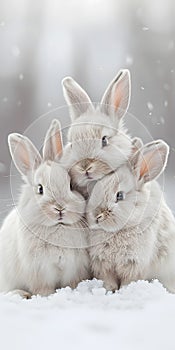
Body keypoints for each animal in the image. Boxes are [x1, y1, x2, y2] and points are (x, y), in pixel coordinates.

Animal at [0, 119, 90, 298]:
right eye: (40, 189)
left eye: (71, 185)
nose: (60, 208)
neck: (59, 227)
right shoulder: (39, 273)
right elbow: (43, 290)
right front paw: (47, 297)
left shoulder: (75, 270)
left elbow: (72, 284)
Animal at [86, 139, 175, 292]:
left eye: (120, 195)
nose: (97, 216)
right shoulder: (103, 264)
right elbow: (108, 280)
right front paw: (107, 290)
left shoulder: (134, 263)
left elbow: (129, 280)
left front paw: (125, 291)